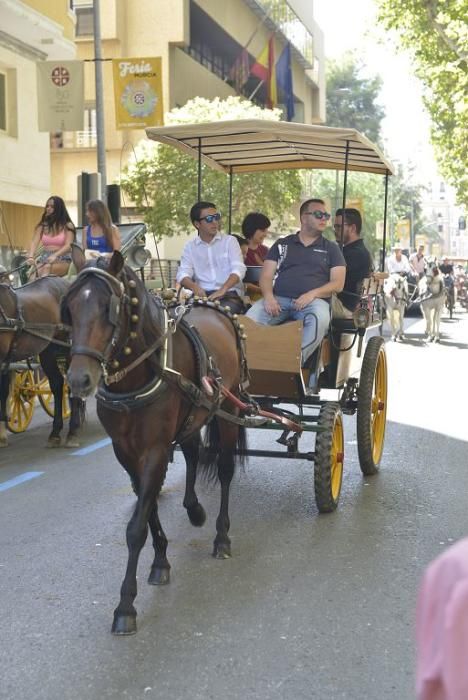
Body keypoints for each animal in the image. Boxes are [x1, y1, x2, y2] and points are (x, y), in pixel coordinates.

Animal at [65, 250, 247, 636]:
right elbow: (146, 509)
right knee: (193, 453)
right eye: (69, 307)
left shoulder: (155, 450)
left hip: (228, 407)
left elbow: (136, 526)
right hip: (194, 415)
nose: (79, 380)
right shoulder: (126, 452)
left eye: (108, 308)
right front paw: (161, 560)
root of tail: (211, 305)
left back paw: (221, 537)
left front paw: (125, 606)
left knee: (224, 469)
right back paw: (194, 509)